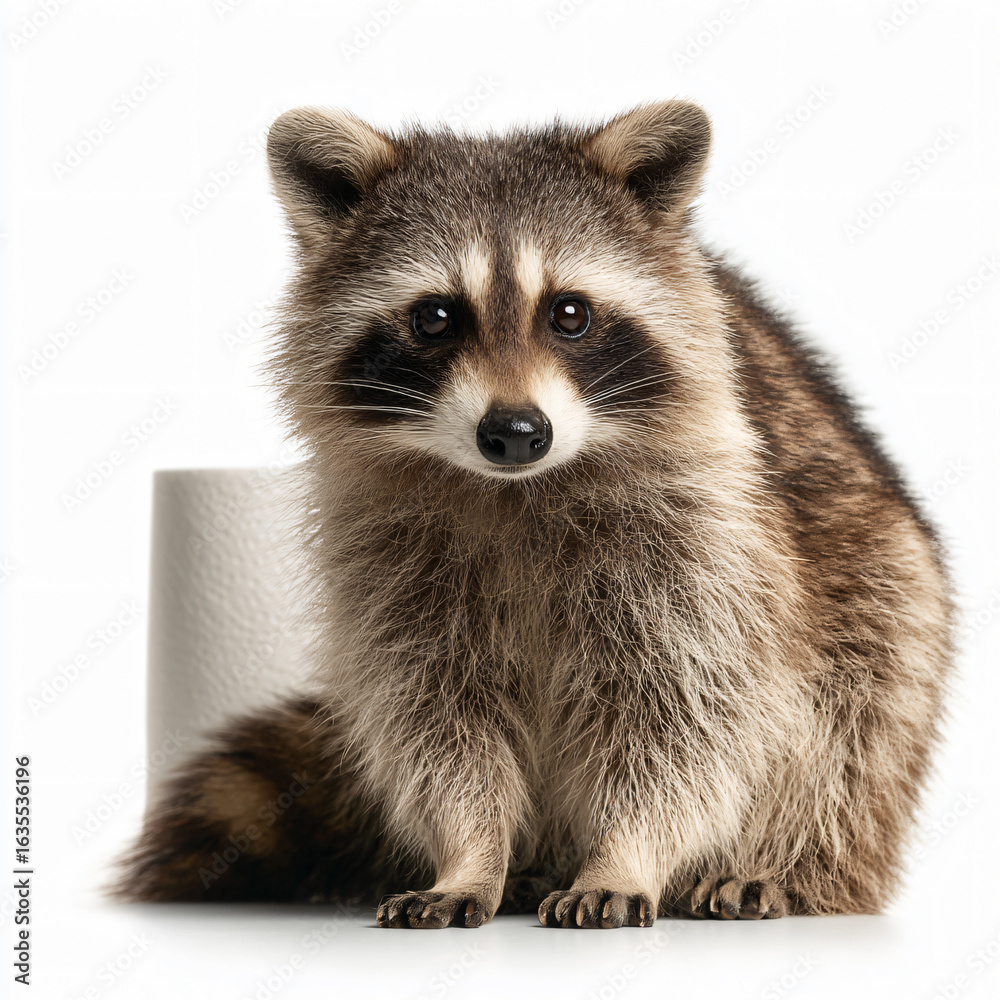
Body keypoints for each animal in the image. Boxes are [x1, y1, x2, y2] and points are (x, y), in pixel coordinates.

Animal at [113, 101, 953, 928]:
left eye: (570, 313)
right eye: (436, 317)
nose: (516, 431)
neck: (516, 487)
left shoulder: (710, 535)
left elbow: (686, 709)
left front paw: (626, 853)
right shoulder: (384, 546)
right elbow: (436, 711)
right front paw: (472, 852)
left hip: (884, 596)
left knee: (854, 721)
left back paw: (780, 862)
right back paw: (531, 865)